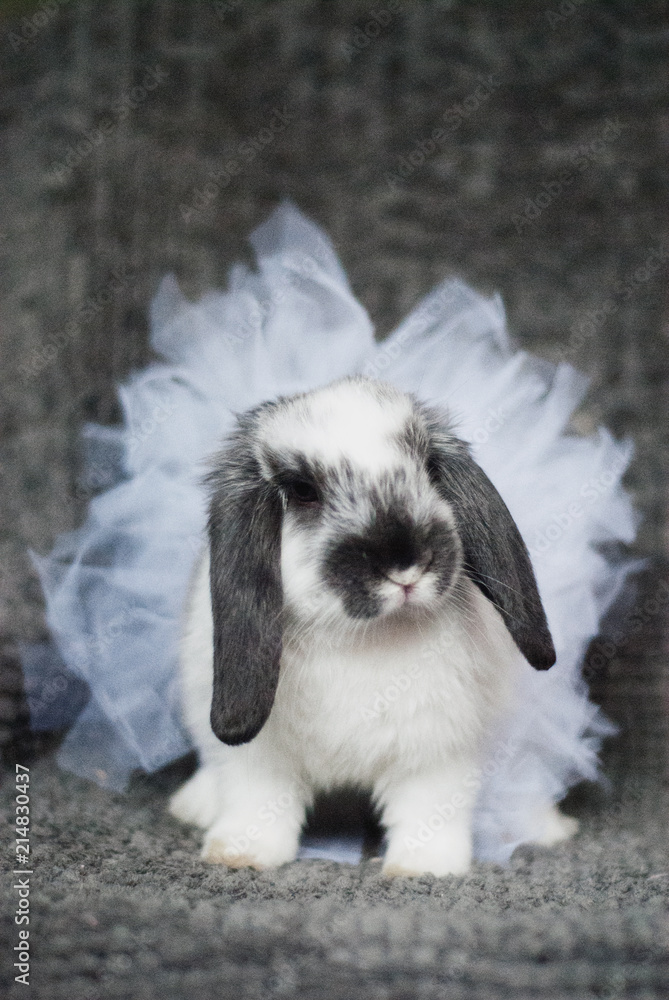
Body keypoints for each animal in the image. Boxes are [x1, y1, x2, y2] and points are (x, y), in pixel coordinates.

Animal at [169, 375, 577, 877]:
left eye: (428, 468)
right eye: (303, 491)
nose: (406, 563)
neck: (359, 638)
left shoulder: (436, 752)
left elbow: (428, 810)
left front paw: (423, 867)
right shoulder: (259, 759)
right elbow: (258, 804)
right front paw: (238, 855)